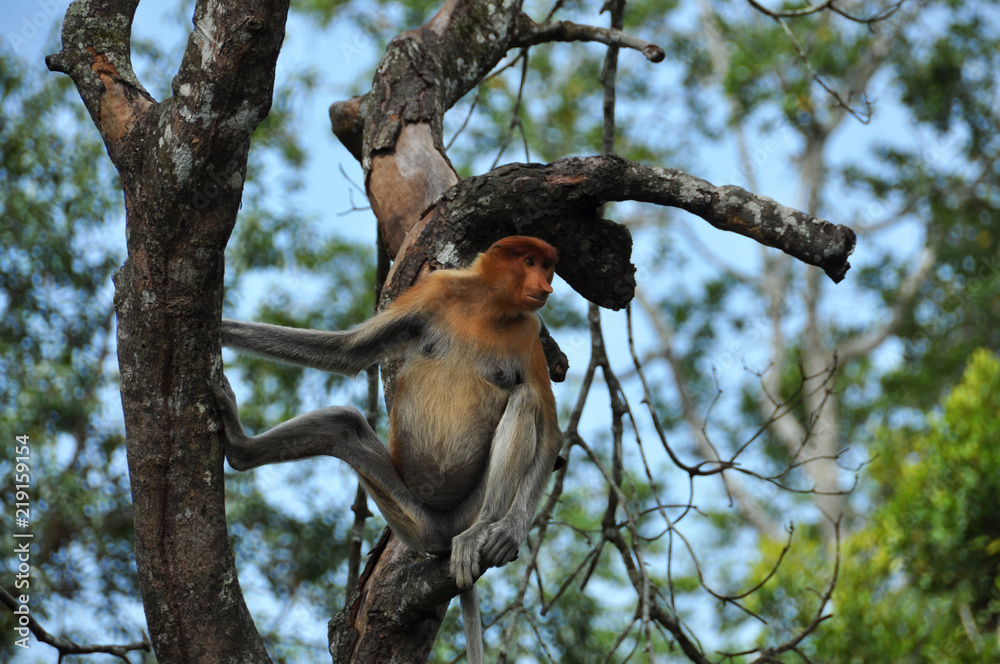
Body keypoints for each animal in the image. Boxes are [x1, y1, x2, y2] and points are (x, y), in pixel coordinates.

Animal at [213, 236, 563, 664]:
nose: (545, 287)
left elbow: (551, 433)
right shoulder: (435, 290)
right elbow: (348, 351)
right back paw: (239, 448)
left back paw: (484, 529)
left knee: (525, 401)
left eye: (547, 267)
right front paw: (219, 327)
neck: (487, 305)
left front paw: (511, 530)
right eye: (530, 262)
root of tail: (444, 530)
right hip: (413, 517)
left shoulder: (529, 331)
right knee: (343, 426)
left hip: (458, 511)